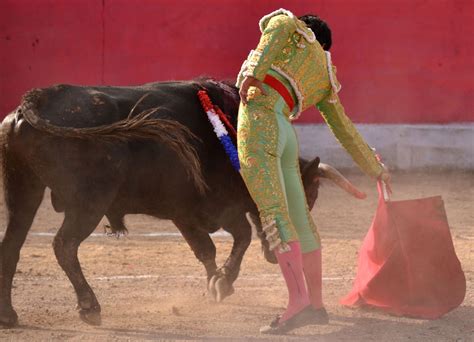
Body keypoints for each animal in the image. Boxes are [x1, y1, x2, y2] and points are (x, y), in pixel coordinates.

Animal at [0, 79, 366, 328]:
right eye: (308, 196)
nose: (275, 257)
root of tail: (40, 98)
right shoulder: (211, 206)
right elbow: (238, 238)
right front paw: (223, 282)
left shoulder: (189, 211)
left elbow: (209, 248)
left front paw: (216, 284)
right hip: (89, 200)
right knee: (64, 245)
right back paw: (90, 307)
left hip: (24, 190)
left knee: (12, 244)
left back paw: (9, 315)